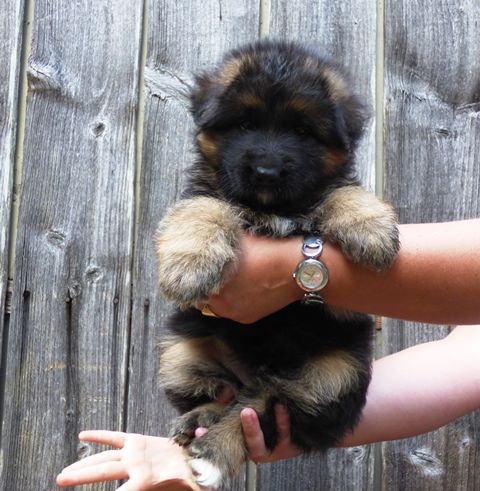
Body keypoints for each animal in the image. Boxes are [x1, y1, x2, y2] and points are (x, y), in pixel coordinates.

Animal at [156, 39, 400, 488]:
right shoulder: (204, 191)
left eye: (303, 131)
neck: (274, 209)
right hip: (180, 355)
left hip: (334, 375)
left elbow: (342, 192)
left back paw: (213, 453)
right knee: (223, 395)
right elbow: (201, 209)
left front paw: (371, 227)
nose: (266, 171)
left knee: (265, 404)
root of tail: (258, 372)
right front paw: (189, 265)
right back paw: (199, 421)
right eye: (244, 123)